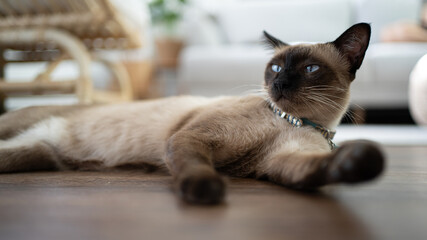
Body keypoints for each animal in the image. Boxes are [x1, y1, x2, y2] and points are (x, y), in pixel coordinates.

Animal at [0, 23, 384, 204]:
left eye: (309, 70)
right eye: (275, 68)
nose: (280, 83)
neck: (292, 121)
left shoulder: (283, 161)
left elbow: (318, 168)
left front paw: (359, 162)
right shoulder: (193, 138)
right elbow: (196, 167)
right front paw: (206, 190)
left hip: (34, 153)